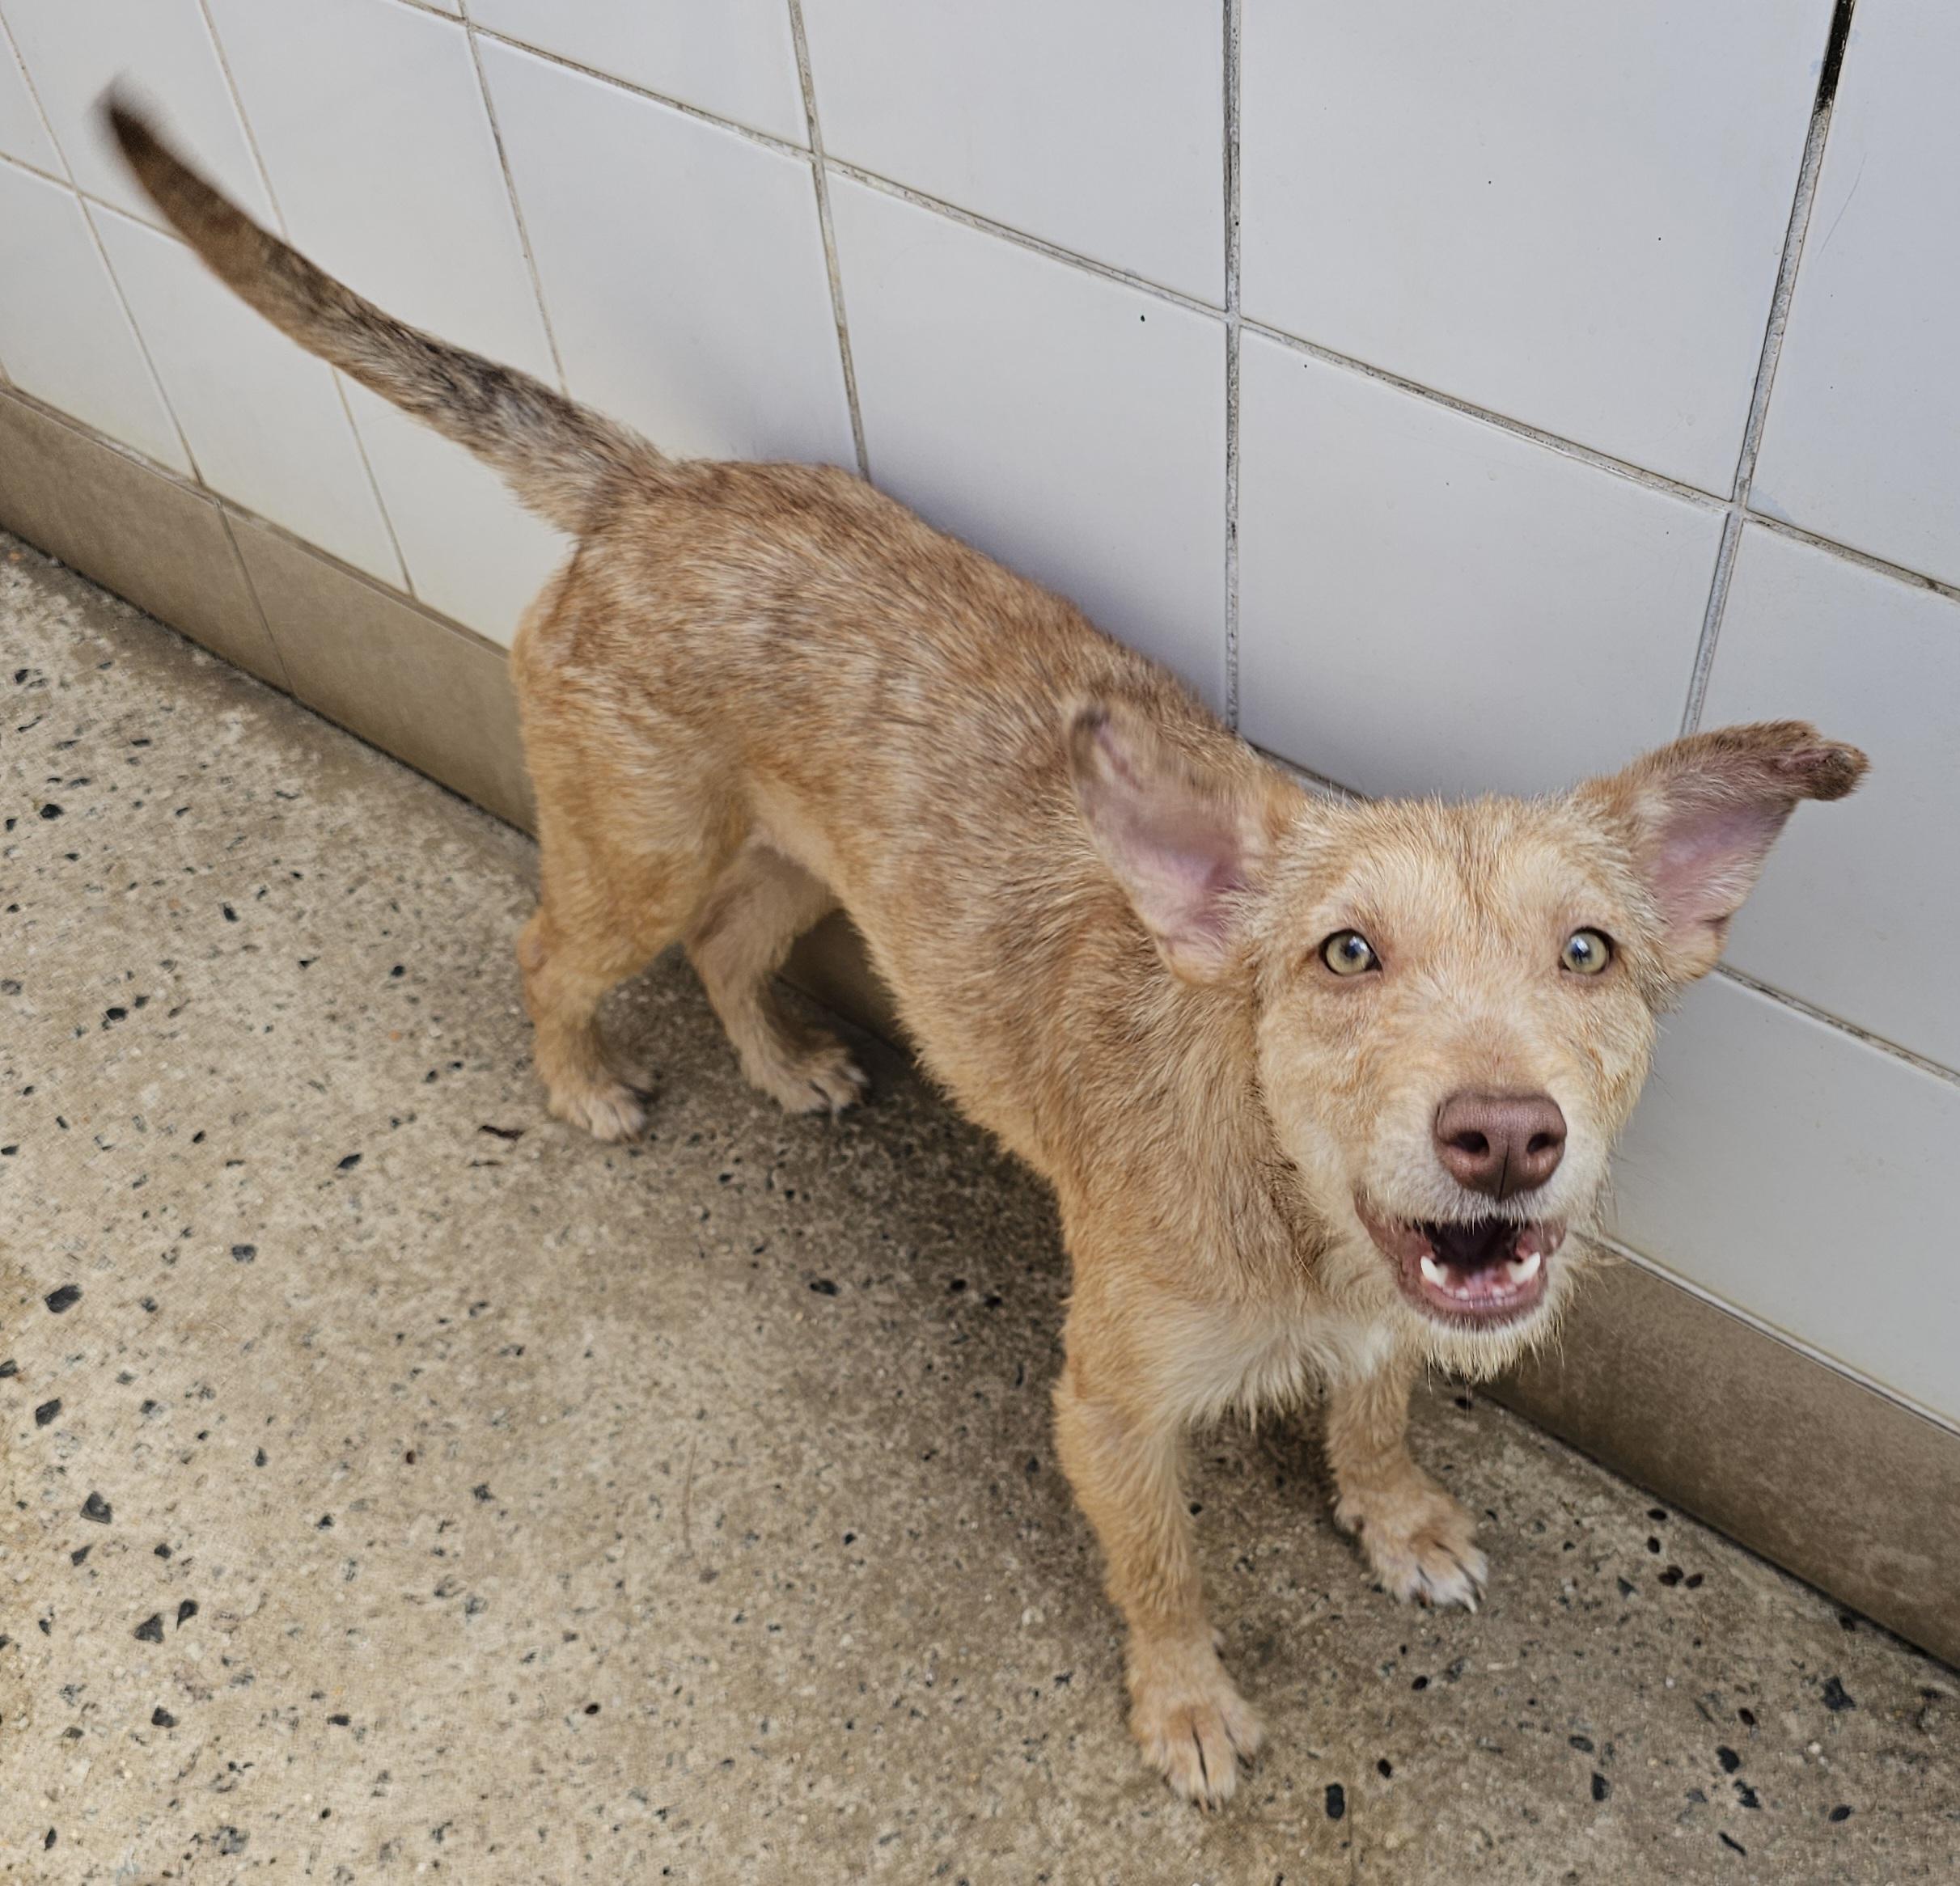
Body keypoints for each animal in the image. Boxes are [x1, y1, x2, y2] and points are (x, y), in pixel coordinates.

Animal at [109, 99, 1866, 1808]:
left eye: (1588, 949)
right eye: (1342, 953)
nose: (1502, 1138)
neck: (1289, 1210)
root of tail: (653, 486)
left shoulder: (1392, 1309)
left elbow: (1374, 1400)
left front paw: (1397, 1509)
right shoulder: (1106, 1406)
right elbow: (1160, 1565)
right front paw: (1184, 1705)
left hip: (793, 870)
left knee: (731, 948)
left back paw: (786, 1060)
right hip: (636, 856)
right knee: (550, 947)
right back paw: (580, 1082)